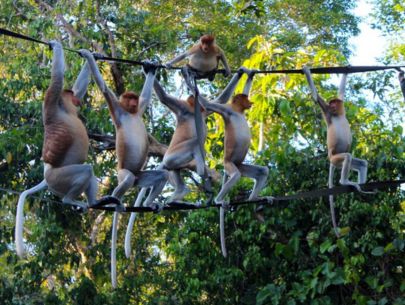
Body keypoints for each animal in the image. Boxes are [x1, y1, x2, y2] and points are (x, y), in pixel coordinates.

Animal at [15, 41, 118, 258]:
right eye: (68, 94)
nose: (74, 99)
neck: (63, 108)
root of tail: (47, 174)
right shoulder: (50, 102)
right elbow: (56, 80)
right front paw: (56, 45)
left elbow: (80, 87)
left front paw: (89, 54)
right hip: (59, 178)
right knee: (85, 170)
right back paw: (71, 201)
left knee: (89, 172)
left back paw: (95, 202)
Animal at [79, 48, 168, 286]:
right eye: (127, 98)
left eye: (133, 98)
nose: (132, 101)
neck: (130, 113)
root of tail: (136, 178)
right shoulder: (117, 109)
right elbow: (103, 87)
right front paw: (89, 56)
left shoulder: (140, 108)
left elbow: (147, 96)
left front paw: (150, 67)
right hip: (123, 173)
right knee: (126, 179)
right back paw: (116, 203)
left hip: (141, 176)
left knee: (160, 176)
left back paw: (149, 203)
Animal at [123, 67, 249, 258]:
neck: (192, 109)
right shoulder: (182, 107)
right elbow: (164, 98)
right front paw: (150, 68)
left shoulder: (204, 111)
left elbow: (220, 100)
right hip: (174, 154)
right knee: (193, 145)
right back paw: (200, 177)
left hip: (177, 161)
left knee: (174, 171)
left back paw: (185, 190)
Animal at [193, 69, 268, 256]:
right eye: (246, 100)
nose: (250, 102)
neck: (237, 111)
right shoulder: (225, 109)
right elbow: (209, 104)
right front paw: (192, 84)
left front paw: (247, 73)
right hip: (229, 164)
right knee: (236, 175)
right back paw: (220, 200)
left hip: (240, 163)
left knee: (262, 171)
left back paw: (255, 199)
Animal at [302, 66, 370, 236]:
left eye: (334, 102)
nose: (332, 104)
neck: (338, 114)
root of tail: (330, 159)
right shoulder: (327, 111)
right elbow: (315, 96)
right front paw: (306, 69)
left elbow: (341, 91)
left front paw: (347, 70)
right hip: (336, 158)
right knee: (347, 156)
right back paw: (346, 181)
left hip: (339, 161)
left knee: (361, 163)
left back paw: (362, 185)